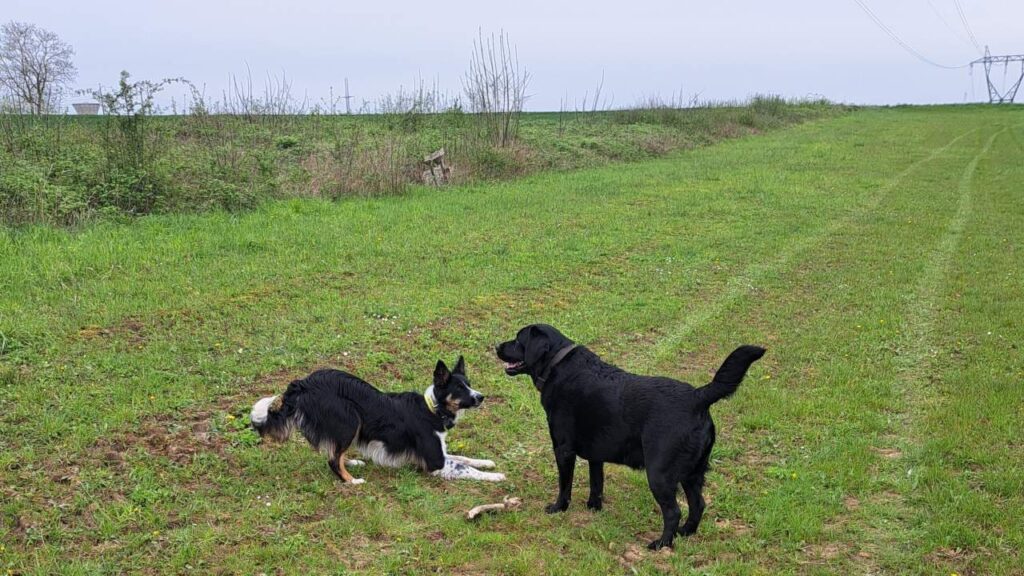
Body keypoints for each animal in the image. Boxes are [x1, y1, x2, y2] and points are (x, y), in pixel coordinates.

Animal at [247, 356, 503, 481]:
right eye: (459, 388)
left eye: (468, 384)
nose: (481, 397)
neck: (432, 409)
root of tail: (303, 383)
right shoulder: (435, 463)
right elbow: (464, 467)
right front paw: (496, 475)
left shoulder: (440, 452)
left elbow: (464, 458)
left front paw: (486, 462)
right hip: (350, 419)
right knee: (332, 459)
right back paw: (351, 481)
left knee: (333, 452)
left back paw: (352, 463)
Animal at [495, 323, 770, 545]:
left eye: (518, 340)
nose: (496, 345)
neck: (556, 365)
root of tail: (698, 397)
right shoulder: (596, 455)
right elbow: (597, 483)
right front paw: (594, 508)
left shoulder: (563, 448)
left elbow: (565, 485)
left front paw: (558, 507)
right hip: (693, 473)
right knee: (698, 505)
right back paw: (685, 533)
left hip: (659, 473)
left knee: (673, 512)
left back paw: (662, 544)